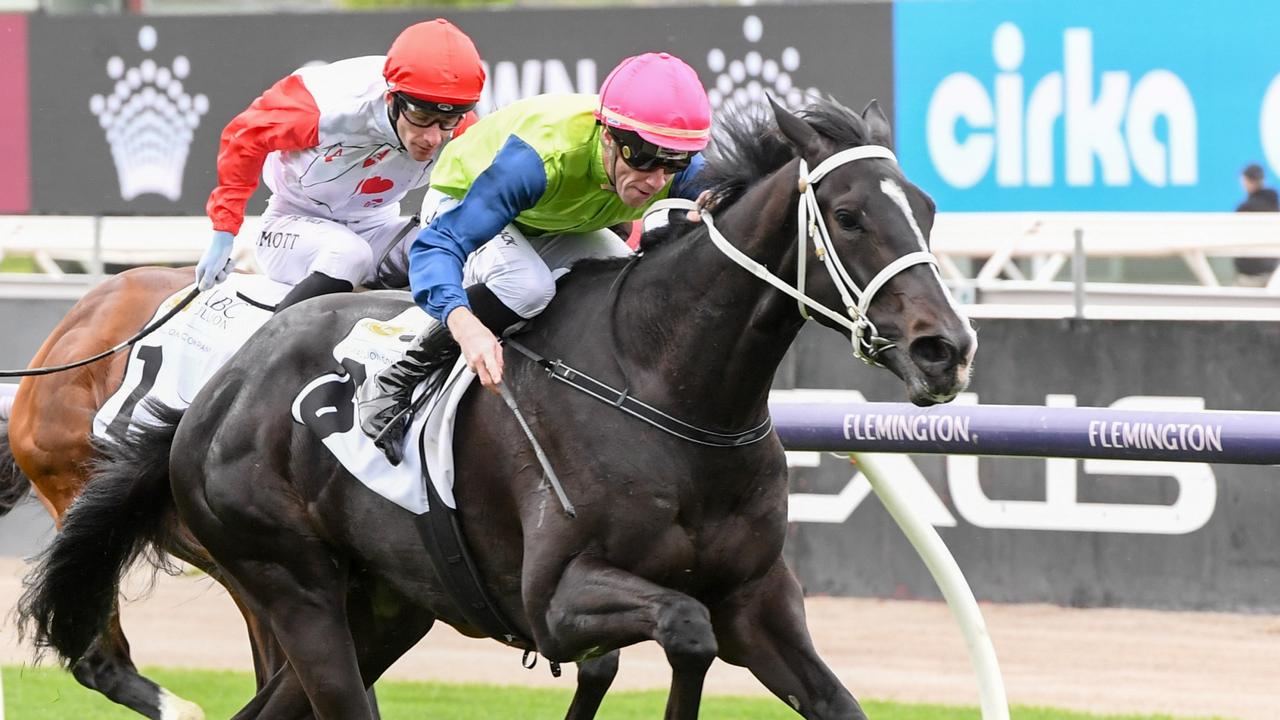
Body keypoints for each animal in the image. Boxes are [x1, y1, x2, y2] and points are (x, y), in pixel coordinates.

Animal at [20, 96, 972, 717]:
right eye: (847, 214)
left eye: (927, 209)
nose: (947, 348)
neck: (665, 387)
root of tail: (212, 395)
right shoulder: (557, 599)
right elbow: (685, 631)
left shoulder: (761, 602)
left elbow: (812, 689)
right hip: (290, 585)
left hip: (382, 605)